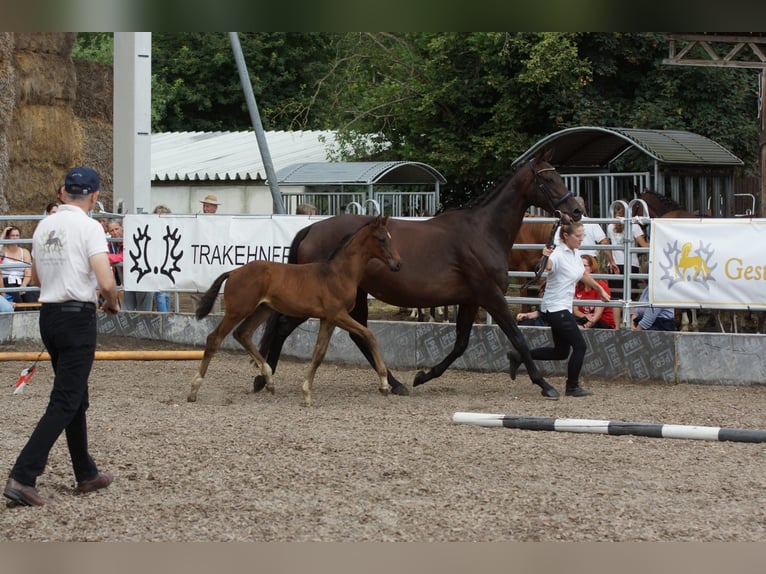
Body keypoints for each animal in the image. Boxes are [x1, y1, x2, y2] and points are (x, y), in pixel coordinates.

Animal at [189, 214, 402, 408]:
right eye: (382, 239)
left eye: (391, 237)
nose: (398, 264)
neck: (339, 274)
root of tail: (233, 272)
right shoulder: (338, 315)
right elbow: (369, 335)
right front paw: (384, 385)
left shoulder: (328, 320)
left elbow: (319, 354)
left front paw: (307, 394)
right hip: (237, 311)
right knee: (214, 339)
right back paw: (194, 389)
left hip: (262, 309)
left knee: (243, 334)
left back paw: (269, 380)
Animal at [256, 152, 584, 400]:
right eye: (548, 179)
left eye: (558, 176)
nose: (577, 210)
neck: (482, 231)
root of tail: (311, 228)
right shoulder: (491, 295)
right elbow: (517, 337)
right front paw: (545, 385)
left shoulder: (470, 299)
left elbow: (461, 343)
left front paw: (423, 376)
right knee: (286, 327)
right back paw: (264, 379)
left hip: (353, 297)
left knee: (357, 334)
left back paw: (396, 383)